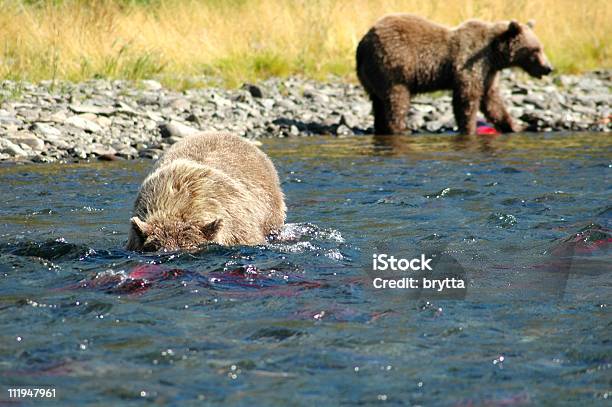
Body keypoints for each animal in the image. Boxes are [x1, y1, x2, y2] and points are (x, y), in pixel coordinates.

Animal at [356, 14, 552, 135]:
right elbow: (467, 97)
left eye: (540, 47)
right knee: (397, 100)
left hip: (372, 75)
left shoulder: (488, 72)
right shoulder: (470, 63)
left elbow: (492, 100)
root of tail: (363, 43)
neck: (495, 53)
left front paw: (515, 126)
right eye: (535, 50)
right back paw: (400, 129)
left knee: (378, 103)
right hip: (394, 66)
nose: (548, 68)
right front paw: (469, 128)